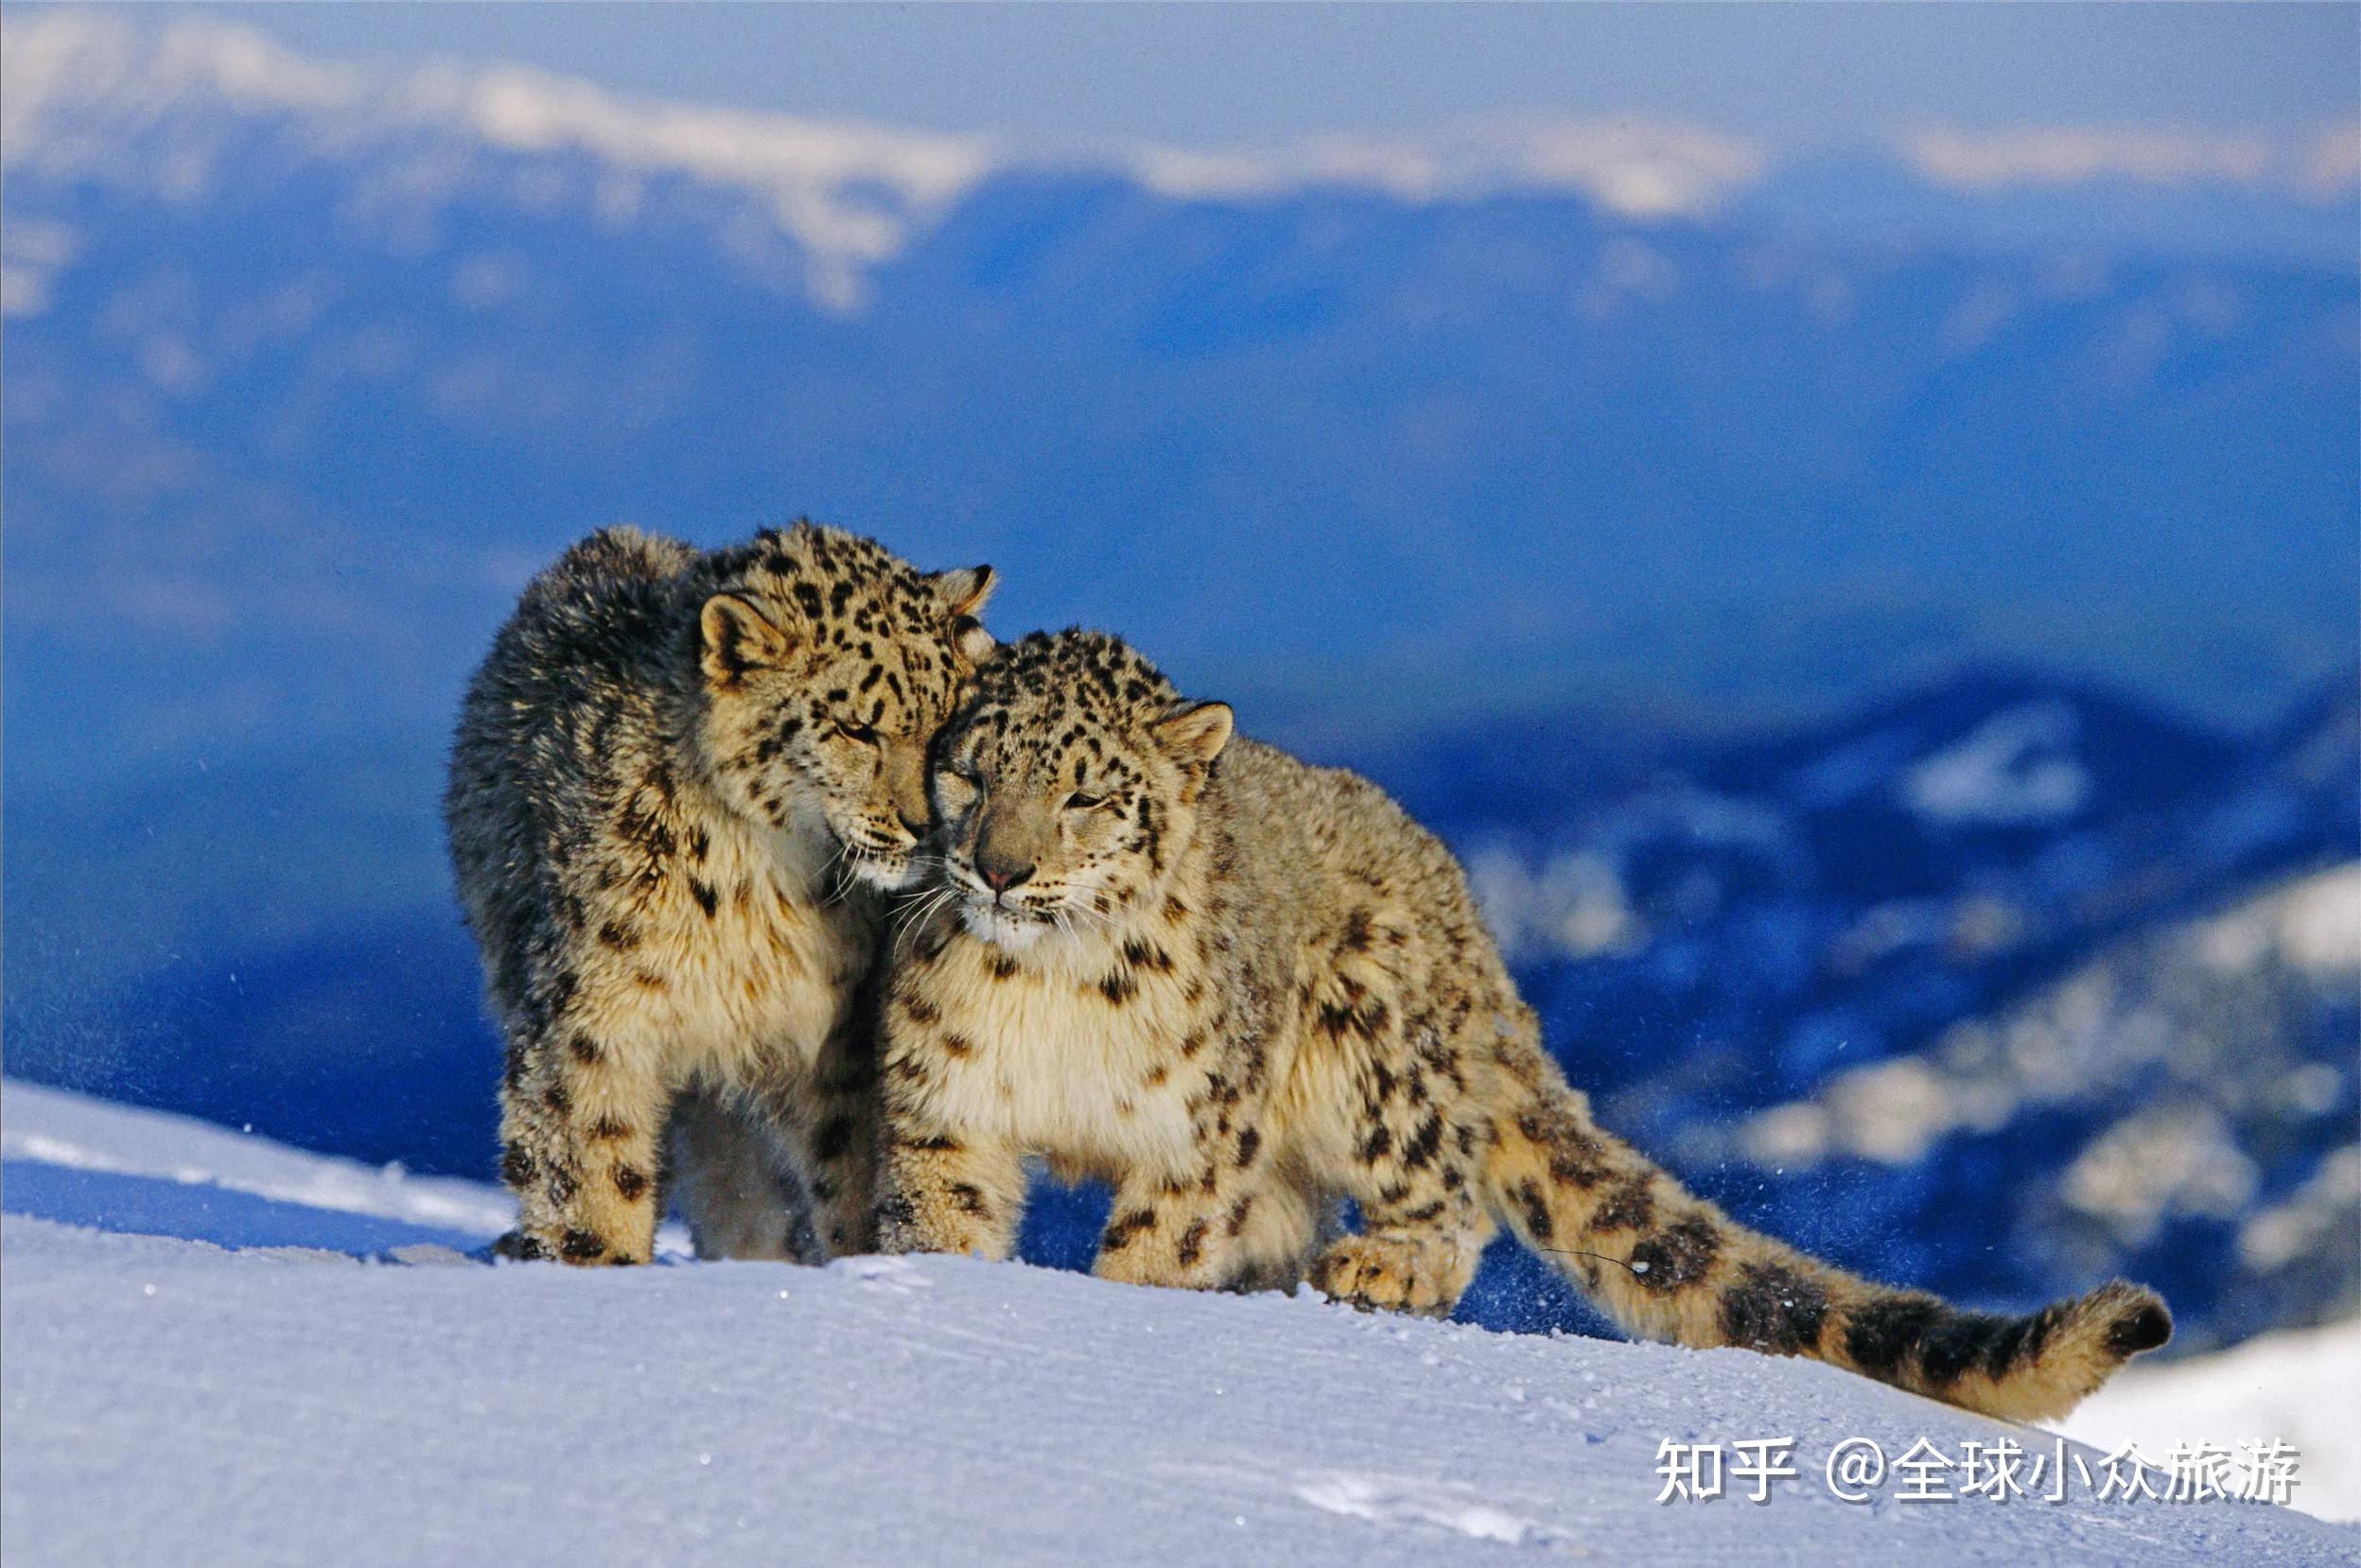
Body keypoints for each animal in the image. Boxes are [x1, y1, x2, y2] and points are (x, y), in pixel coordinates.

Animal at [446, 519, 991, 1265]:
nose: (927, 824)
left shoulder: (829, 1038)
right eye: (855, 727)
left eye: (950, 725)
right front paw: (602, 1260)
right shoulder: (593, 1017)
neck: (759, 885)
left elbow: (847, 1171)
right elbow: (592, 1161)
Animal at [873, 623, 2172, 1417]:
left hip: (1377, 1044)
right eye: (971, 770)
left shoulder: (1195, 1141)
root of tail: (1470, 921)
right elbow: (941, 1221)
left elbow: (1155, 1251)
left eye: (1088, 793)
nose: (996, 868)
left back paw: (1381, 1264)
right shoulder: (942, 1104)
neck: (1051, 988)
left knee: (1445, 1202)